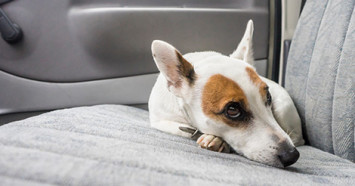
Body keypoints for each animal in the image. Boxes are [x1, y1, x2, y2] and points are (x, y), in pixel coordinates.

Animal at [149, 20, 304, 169]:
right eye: (233, 110)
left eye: (268, 97)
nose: (291, 155)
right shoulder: (160, 121)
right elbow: (181, 129)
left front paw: (216, 139)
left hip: (284, 109)